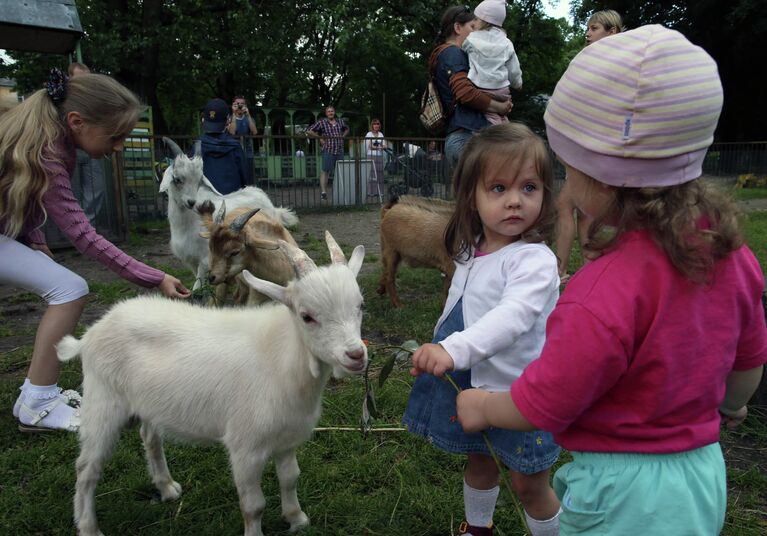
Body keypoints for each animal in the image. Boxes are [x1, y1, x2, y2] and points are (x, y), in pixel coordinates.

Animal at [56, 232, 366, 536]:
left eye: (360, 306)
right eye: (306, 316)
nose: (356, 354)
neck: (283, 357)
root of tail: (93, 331)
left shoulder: (287, 437)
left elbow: (290, 478)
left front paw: (296, 518)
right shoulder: (244, 446)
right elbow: (253, 505)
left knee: (149, 437)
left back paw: (166, 487)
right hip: (102, 403)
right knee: (87, 467)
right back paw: (88, 526)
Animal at [158, 138, 296, 288]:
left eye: (199, 181)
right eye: (177, 179)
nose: (191, 202)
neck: (185, 225)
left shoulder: (205, 260)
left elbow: (197, 287)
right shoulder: (191, 261)